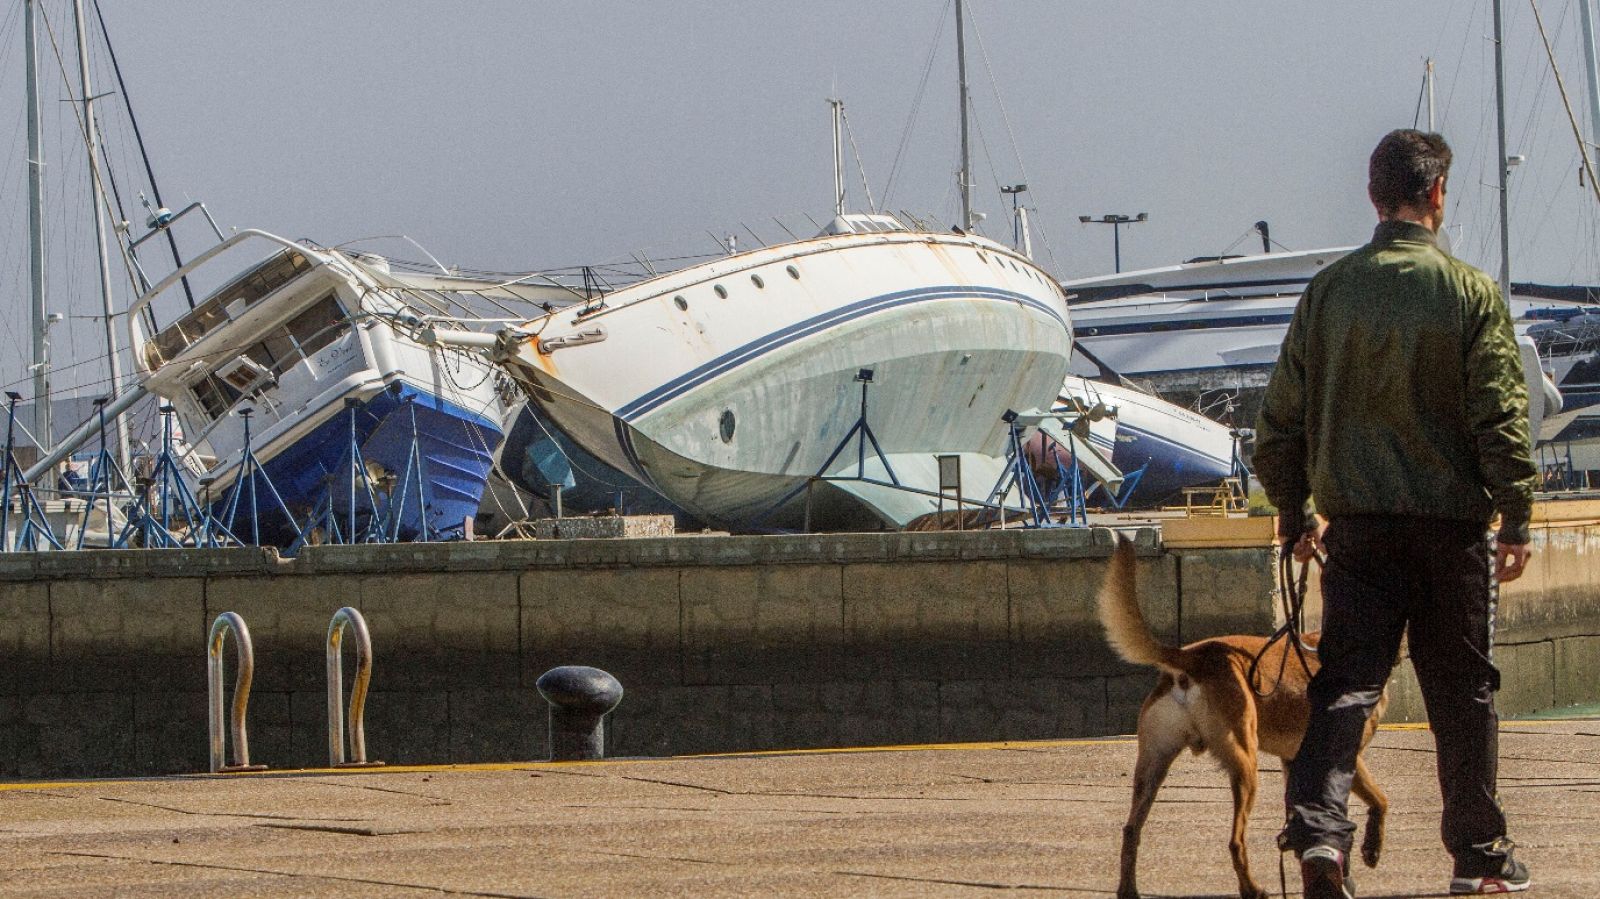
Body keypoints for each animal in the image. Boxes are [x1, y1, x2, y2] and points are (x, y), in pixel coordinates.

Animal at [1100, 534, 1388, 889]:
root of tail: (1191, 658)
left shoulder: (1295, 762)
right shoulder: (1347, 757)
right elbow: (1378, 802)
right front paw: (1369, 850)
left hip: (1153, 766)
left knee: (1131, 831)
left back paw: (1129, 888)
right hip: (1244, 763)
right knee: (1235, 840)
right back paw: (1252, 888)